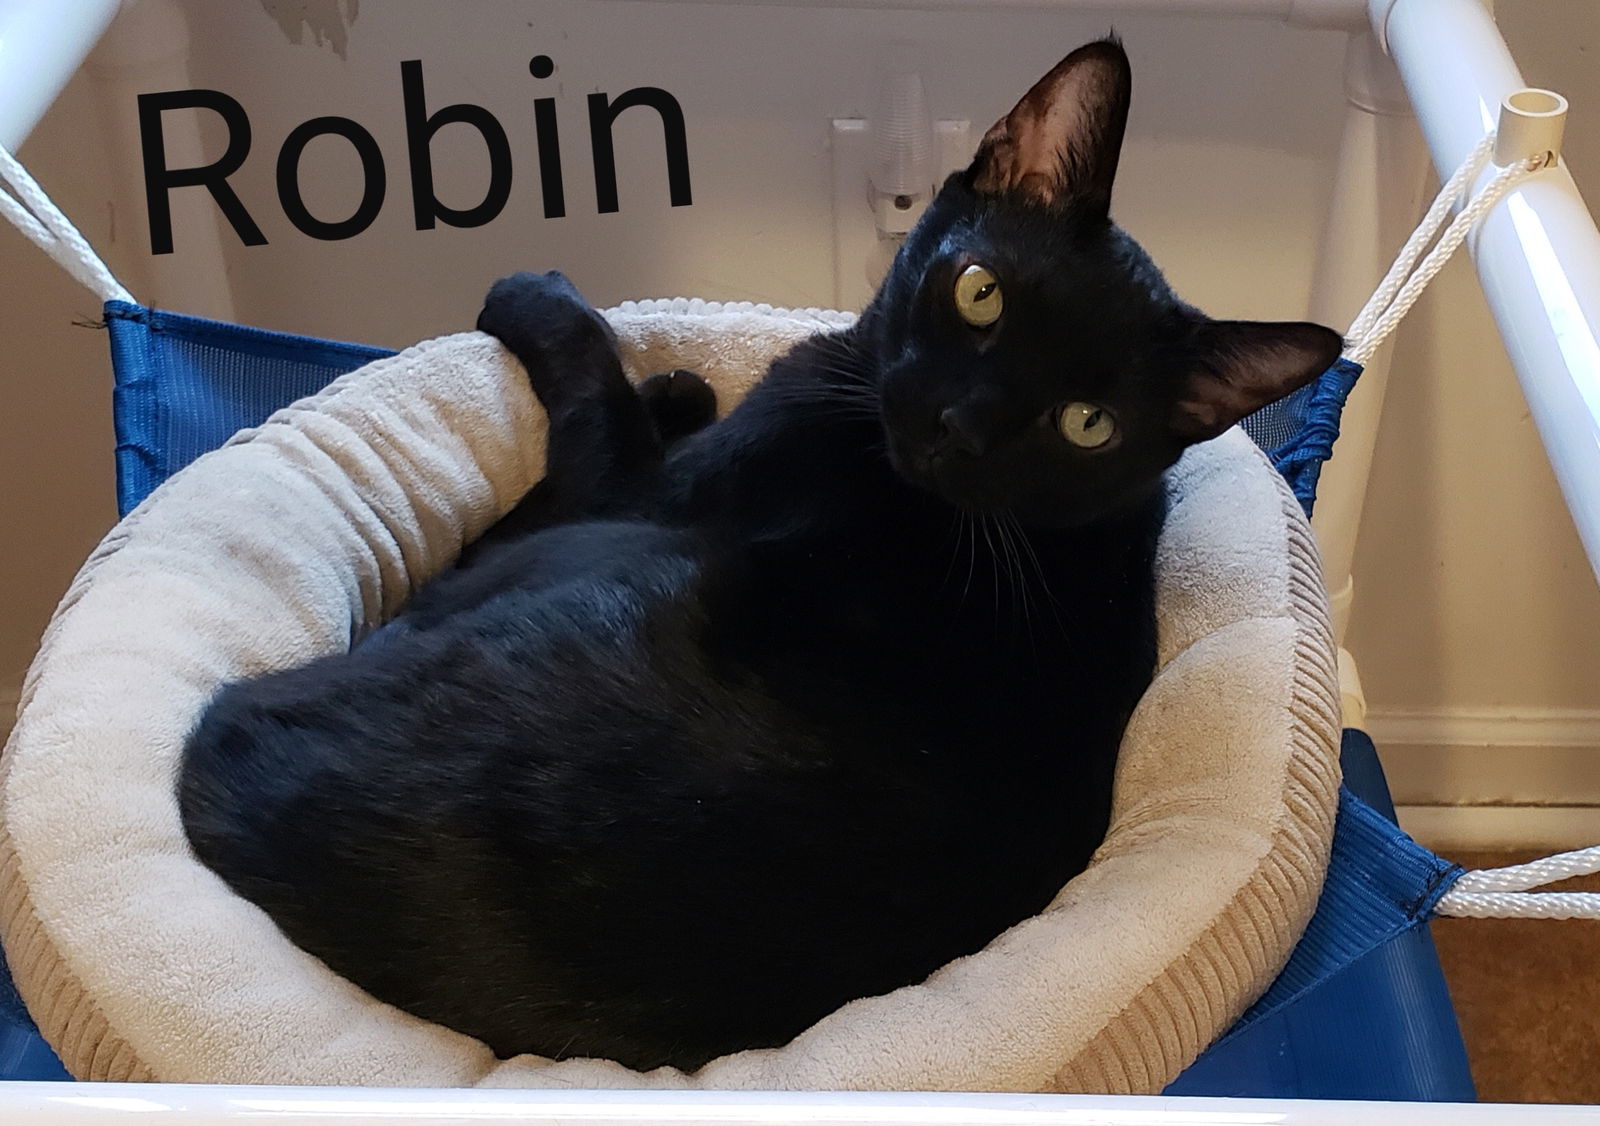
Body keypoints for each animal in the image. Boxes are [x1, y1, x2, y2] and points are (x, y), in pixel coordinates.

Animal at [181, 37, 1344, 1074]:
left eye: (1086, 423)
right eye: (979, 291)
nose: (959, 427)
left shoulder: (638, 492)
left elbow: (591, 390)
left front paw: (555, 310)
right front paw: (680, 380)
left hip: (593, 555)